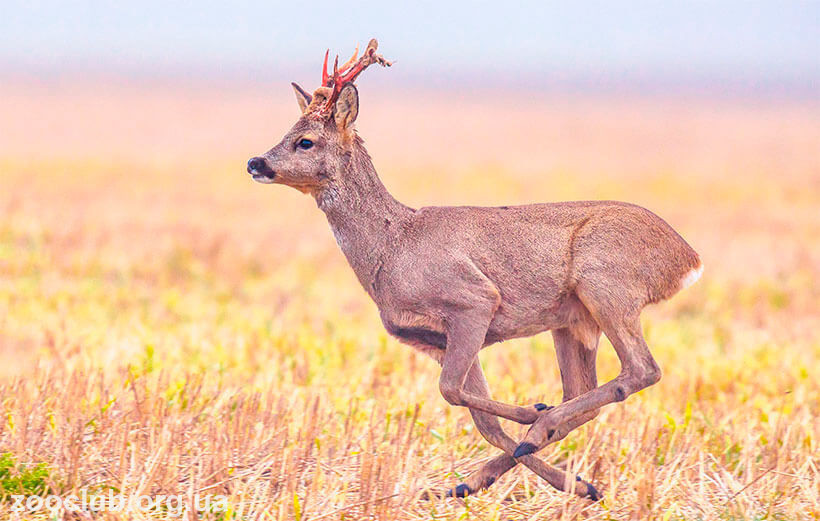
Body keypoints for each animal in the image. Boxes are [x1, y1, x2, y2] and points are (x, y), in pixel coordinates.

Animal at [245, 38, 704, 502]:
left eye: (305, 141)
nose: (255, 162)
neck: (393, 247)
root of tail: (687, 258)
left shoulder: (473, 300)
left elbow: (451, 391)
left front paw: (530, 412)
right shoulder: (433, 338)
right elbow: (480, 418)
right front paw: (531, 478)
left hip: (606, 284)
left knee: (642, 369)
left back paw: (541, 424)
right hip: (573, 320)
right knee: (584, 389)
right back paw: (542, 463)